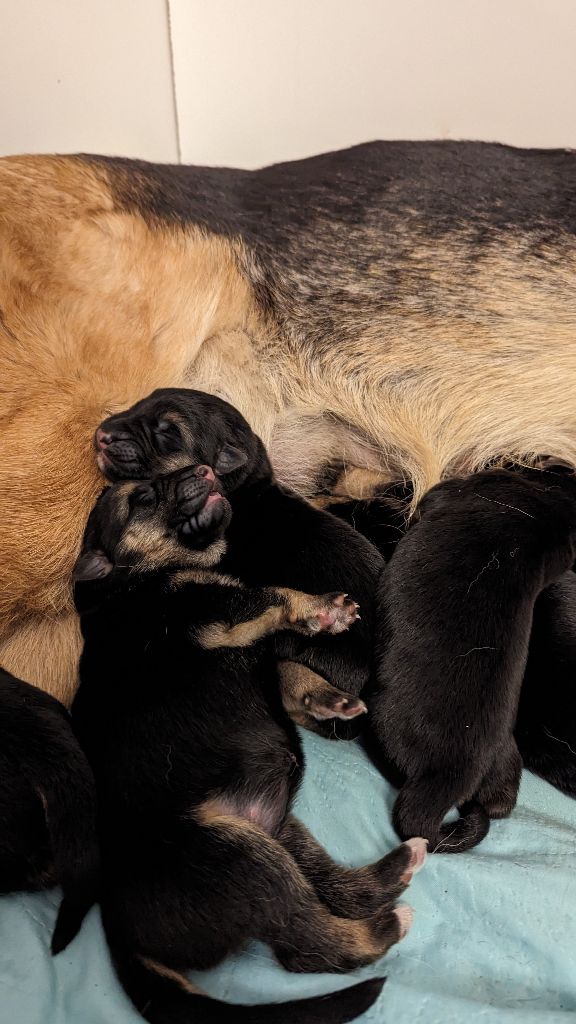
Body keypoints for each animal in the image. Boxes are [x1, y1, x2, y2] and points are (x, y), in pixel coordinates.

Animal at [57, 466, 426, 1024]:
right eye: (141, 496)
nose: (204, 469)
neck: (130, 583)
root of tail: (118, 933)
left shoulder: (247, 643)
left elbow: (284, 667)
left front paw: (322, 697)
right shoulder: (211, 613)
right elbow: (273, 595)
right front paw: (320, 610)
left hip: (276, 831)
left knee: (333, 892)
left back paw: (398, 865)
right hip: (245, 858)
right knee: (308, 946)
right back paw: (387, 926)